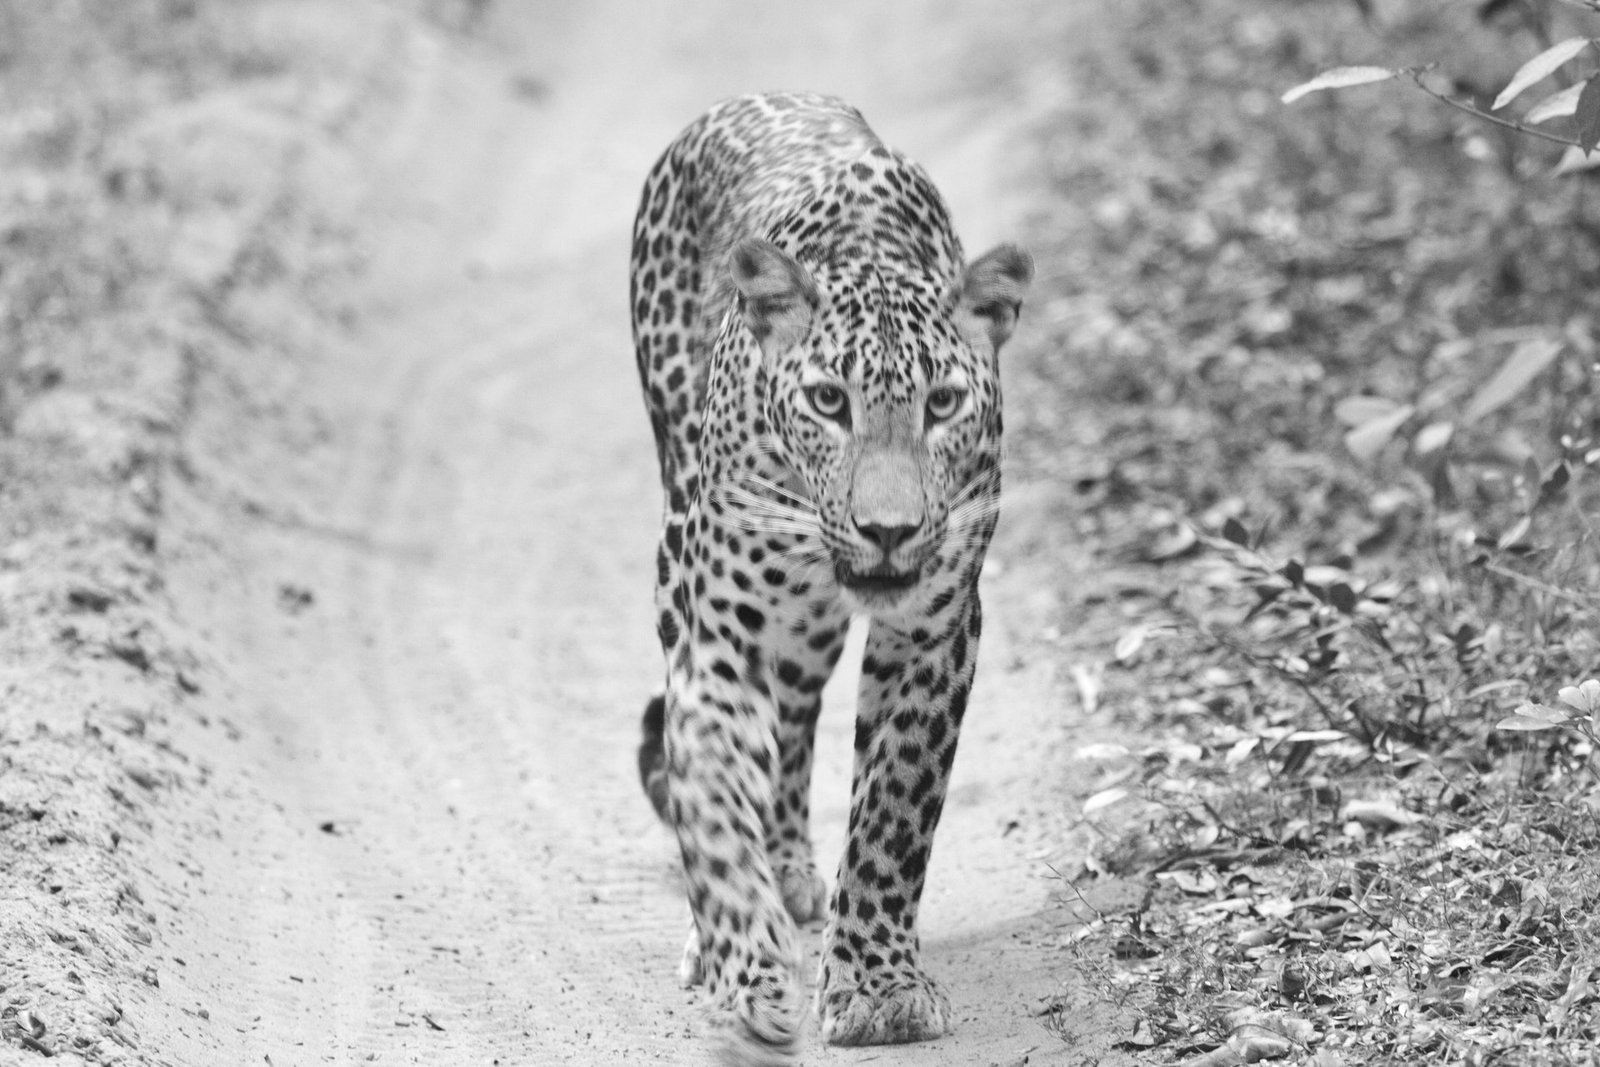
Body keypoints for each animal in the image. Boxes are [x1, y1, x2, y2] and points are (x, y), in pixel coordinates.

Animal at [629, 90, 1032, 1064]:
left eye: (942, 404)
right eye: (827, 402)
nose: (887, 530)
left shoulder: (937, 630)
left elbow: (892, 809)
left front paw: (877, 986)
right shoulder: (720, 636)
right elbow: (710, 795)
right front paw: (745, 966)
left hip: (809, 630)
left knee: (797, 718)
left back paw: (788, 868)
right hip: (678, 544)